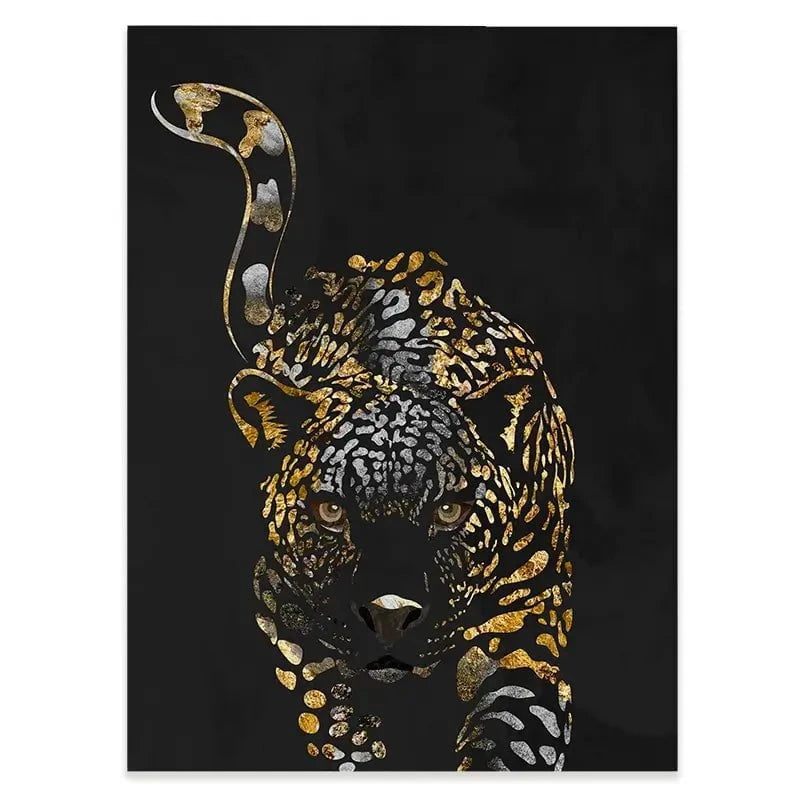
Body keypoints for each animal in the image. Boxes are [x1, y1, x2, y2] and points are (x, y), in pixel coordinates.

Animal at [151, 83, 576, 771]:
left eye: (451, 510)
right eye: (330, 511)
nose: (390, 614)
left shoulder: (528, 626)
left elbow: (513, 739)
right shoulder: (290, 620)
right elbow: (336, 724)